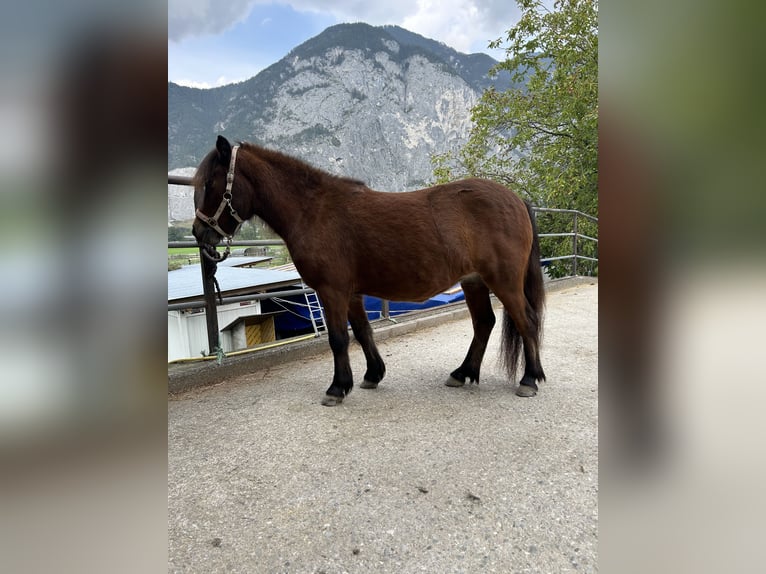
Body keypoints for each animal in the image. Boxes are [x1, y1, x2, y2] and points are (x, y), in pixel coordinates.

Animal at [195, 136, 548, 408]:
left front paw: (337, 388)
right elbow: (363, 332)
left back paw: (529, 379)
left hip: (504, 282)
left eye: (211, 183)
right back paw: (462, 373)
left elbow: (338, 338)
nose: (200, 233)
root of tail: (516, 199)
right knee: (484, 323)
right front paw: (372, 375)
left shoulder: (332, 290)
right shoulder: (351, 292)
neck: (314, 210)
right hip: (473, 282)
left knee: (527, 321)